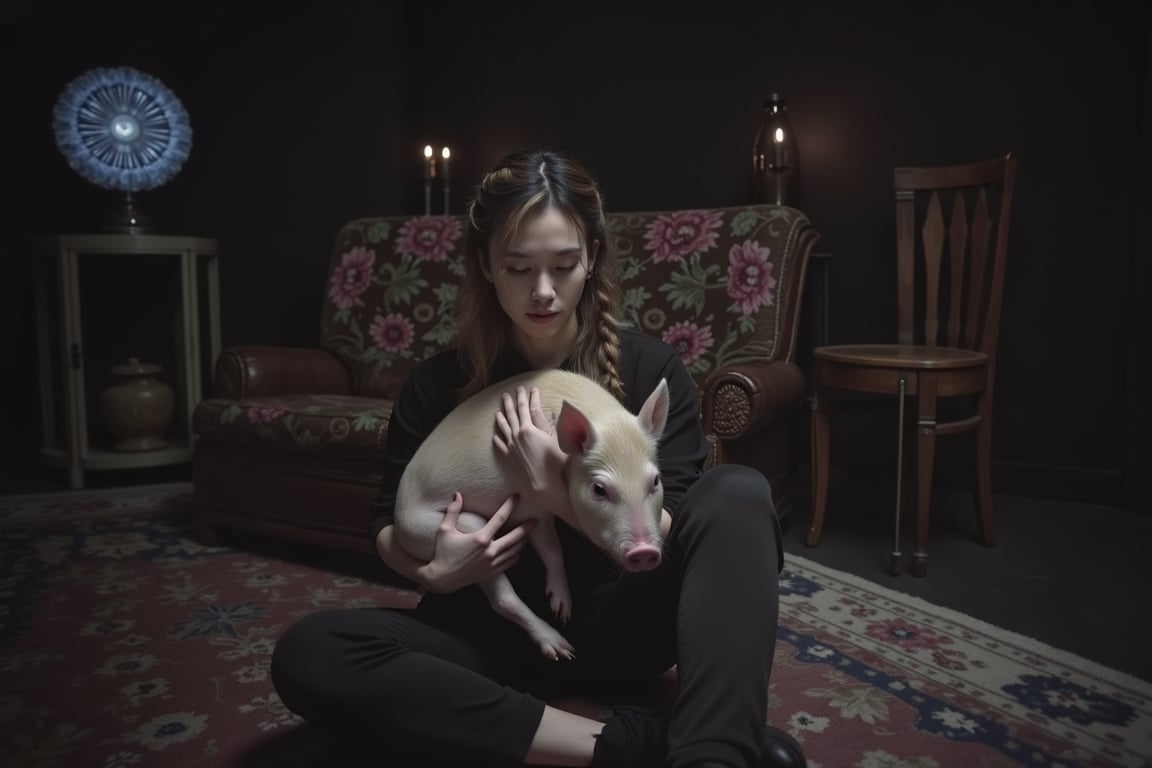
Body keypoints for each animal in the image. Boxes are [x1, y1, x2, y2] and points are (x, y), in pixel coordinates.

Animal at [393, 368, 672, 663]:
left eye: (655, 480)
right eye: (599, 489)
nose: (644, 551)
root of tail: (399, 521)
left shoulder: (538, 508)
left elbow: (553, 551)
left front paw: (562, 609)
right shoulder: (530, 502)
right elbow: (552, 547)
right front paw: (563, 616)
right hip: (449, 528)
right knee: (501, 597)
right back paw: (562, 650)